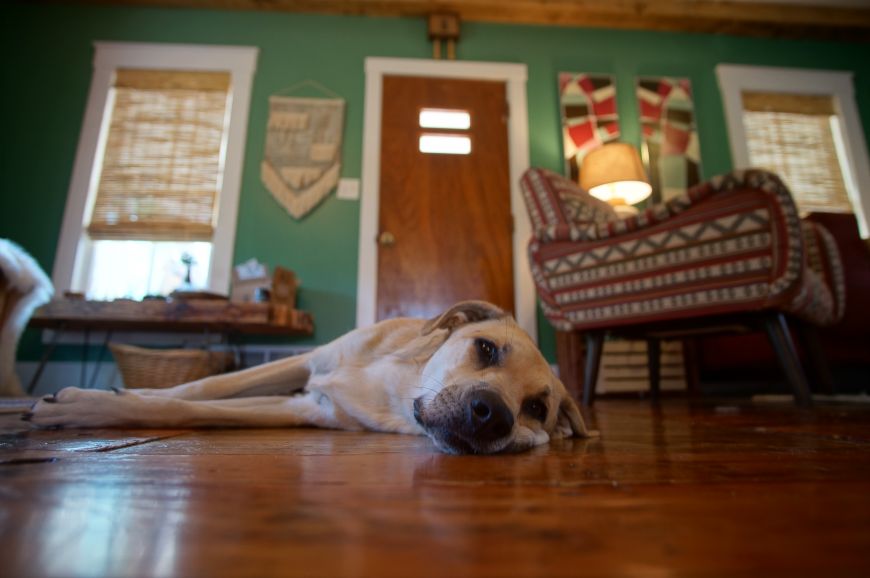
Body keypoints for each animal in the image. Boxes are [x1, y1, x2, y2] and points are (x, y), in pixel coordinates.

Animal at [25, 300, 592, 452]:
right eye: (486, 348)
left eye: (537, 408)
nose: (492, 415)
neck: (396, 388)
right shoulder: (307, 363)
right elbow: (202, 387)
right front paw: (104, 396)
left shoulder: (305, 408)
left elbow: (185, 407)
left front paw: (88, 405)